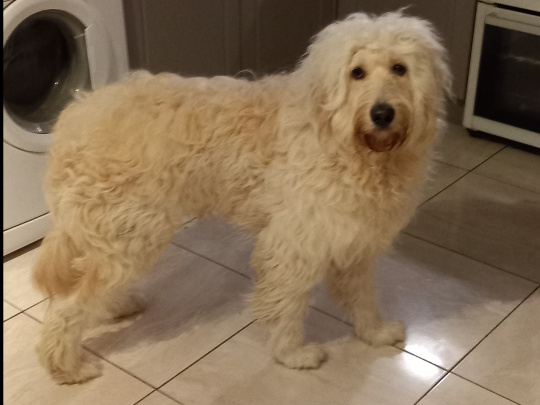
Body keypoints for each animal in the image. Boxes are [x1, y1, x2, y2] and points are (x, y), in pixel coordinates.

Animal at [31, 9, 450, 382]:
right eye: (356, 72)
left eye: (399, 68)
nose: (382, 113)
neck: (348, 143)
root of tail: (75, 115)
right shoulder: (293, 245)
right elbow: (287, 304)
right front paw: (293, 354)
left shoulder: (356, 240)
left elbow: (363, 297)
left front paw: (374, 333)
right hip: (130, 233)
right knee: (66, 308)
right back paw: (67, 368)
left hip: (117, 234)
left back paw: (116, 307)